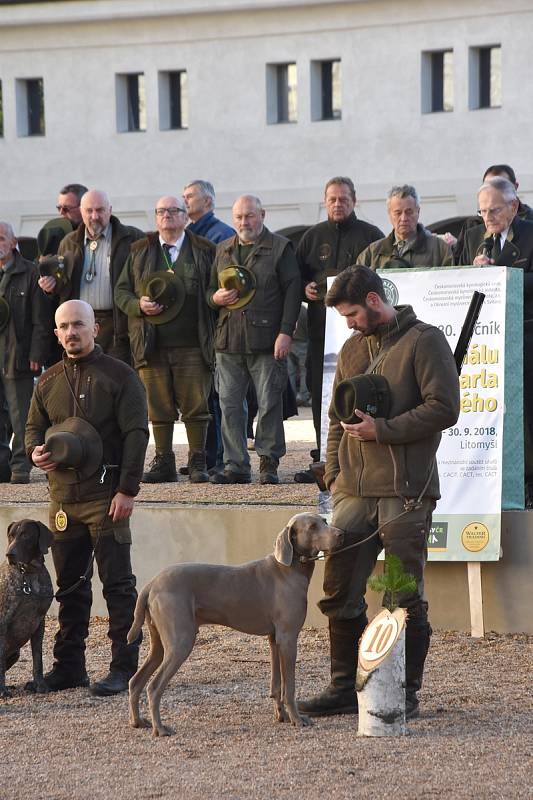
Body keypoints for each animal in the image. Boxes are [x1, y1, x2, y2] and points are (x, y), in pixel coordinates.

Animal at [0, 520, 54, 692]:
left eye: (25, 535)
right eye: (11, 536)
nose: (9, 554)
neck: (29, 574)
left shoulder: (39, 622)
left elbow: (38, 660)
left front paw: (40, 685)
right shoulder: (3, 622)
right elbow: (0, 662)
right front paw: (2, 690)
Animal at [127, 512, 340, 736]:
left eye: (324, 521)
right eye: (312, 527)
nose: (341, 534)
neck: (288, 568)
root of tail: (151, 583)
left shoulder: (275, 639)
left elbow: (276, 685)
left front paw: (281, 716)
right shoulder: (288, 638)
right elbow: (289, 687)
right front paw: (297, 719)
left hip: (159, 642)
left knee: (135, 681)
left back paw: (138, 721)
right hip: (180, 642)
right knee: (153, 687)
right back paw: (160, 729)